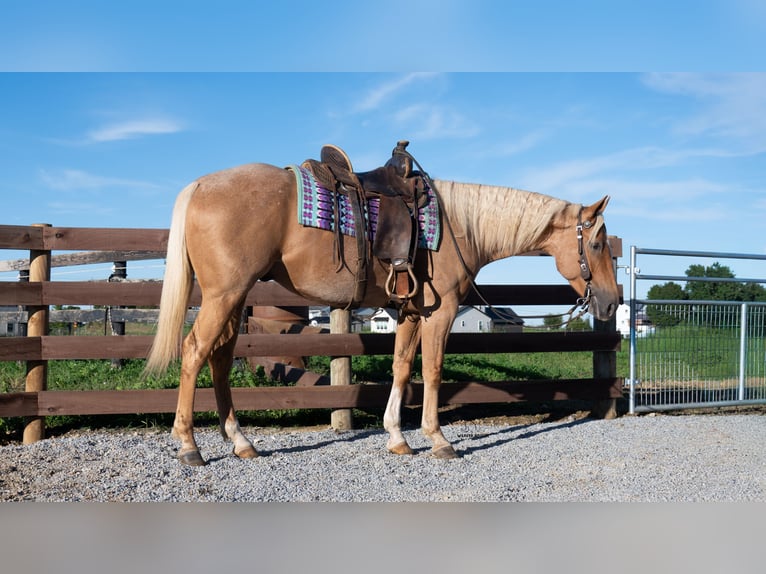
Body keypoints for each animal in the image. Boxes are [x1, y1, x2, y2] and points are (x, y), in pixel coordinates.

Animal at [145, 155, 620, 466]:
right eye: (597, 243)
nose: (612, 300)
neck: (459, 227)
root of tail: (200, 185)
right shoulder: (441, 312)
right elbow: (432, 371)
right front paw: (437, 439)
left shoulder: (410, 312)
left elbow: (402, 367)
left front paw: (397, 437)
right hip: (224, 295)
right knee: (194, 352)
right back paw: (189, 445)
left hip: (233, 297)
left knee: (220, 359)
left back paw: (241, 442)